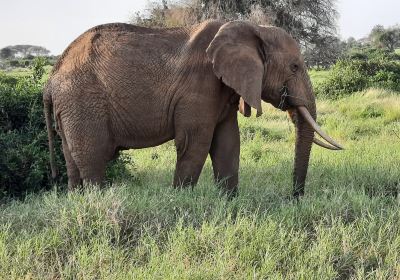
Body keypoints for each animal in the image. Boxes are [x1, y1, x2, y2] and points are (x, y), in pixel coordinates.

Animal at [44, 19, 344, 197]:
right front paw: (181, 202)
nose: (295, 197)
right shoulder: (198, 88)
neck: (250, 28)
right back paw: (97, 201)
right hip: (83, 103)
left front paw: (229, 203)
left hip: (71, 108)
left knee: (72, 160)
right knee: (93, 159)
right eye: (294, 67)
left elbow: (228, 143)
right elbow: (195, 143)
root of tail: (51, 79)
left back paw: (76, 201)